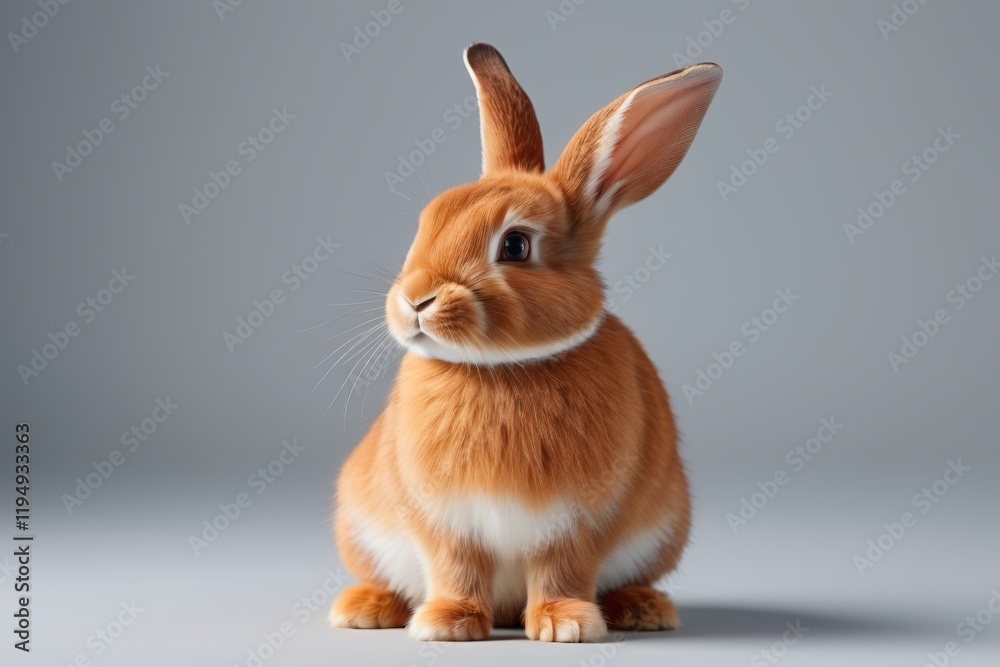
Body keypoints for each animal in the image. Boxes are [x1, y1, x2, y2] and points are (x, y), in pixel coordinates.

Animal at [329, 42, 721, 642]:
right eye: (428, 222)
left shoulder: (579, 523)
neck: (501, 368)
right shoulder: (445, 521)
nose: (415, 299)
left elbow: (562, 569)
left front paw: (567, 625)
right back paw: (365, 608)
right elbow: (456, 566)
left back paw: (643, 608)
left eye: (515, 245)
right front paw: (448, 624)